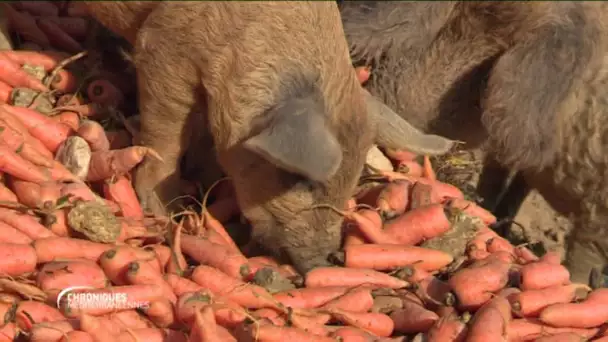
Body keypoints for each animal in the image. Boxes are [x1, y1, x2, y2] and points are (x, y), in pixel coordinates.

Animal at [84, 2, 456, 276]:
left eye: (353, 183)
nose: (326, 262)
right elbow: (168, 135)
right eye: (301, 181)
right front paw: (170, 210)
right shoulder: (163, 50)